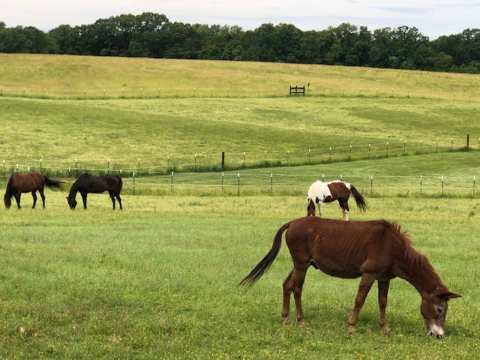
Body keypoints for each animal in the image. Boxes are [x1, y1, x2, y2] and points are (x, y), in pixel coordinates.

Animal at [240, 217, 462, 338]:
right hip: (302, 265)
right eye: (440, 309)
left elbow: (383, 302)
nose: (439, 335)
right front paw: (352, 326)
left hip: (301, 264)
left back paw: (286, 318)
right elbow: (360, 300)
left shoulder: (384, 278)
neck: (393, 246)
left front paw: (384, 327)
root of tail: (293, 222)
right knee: (297, 289)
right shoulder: (369, 274)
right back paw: (300, 321)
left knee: (287, 285)